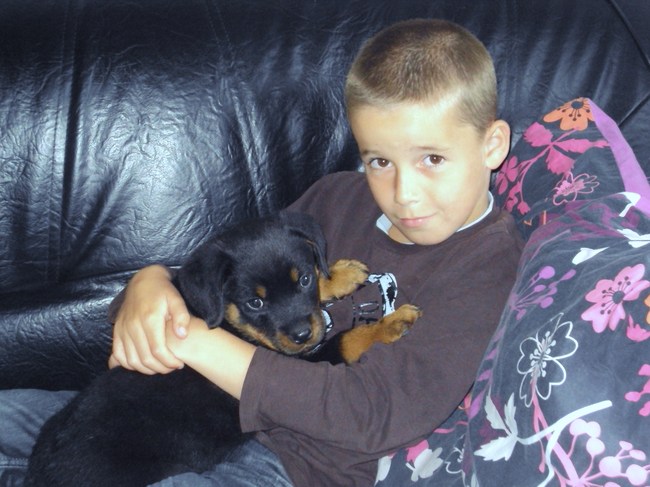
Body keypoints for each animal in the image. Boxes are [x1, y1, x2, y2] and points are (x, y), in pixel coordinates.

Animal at [25, 212, 421, 487]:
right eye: (254, 303)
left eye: (304, 279)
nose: (303, 334)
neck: (228, 321)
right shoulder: (290, 365)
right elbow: (345, 340)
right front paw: (391, 322)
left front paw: (339, 274)